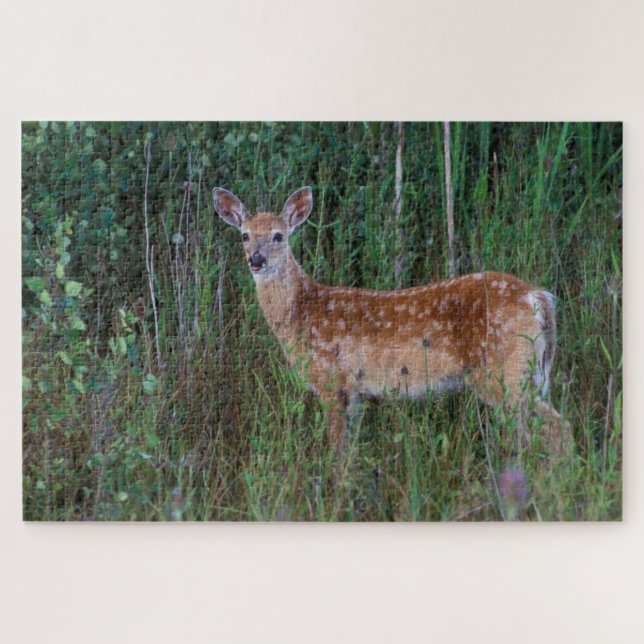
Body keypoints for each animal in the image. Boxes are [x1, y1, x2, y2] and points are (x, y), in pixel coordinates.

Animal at [214, 186, 570, 455]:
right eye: (244, 235)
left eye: (278, 236)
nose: (256, 260)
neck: (303, 312)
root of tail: (538, 298)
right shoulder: (354, 391)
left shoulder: (332, 380)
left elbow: (337, 450)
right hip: (527, 374)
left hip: (504, 372)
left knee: (556, 429)